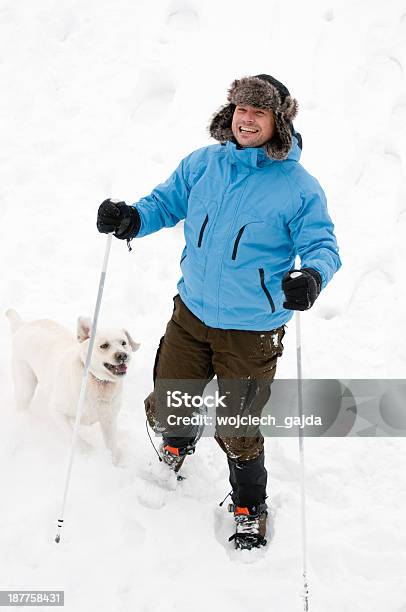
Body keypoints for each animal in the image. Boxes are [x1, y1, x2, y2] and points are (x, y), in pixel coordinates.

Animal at [5, 310, 140, 464]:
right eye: (104, 345)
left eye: (124, 343)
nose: (123, 355)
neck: (98, 382)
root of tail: (24, 325)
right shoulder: (57, 412)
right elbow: (75, 439)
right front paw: (88, 452)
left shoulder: (109, 421)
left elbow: (112, 447)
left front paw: (113, 463)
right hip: (25, 385)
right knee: (22, 405)